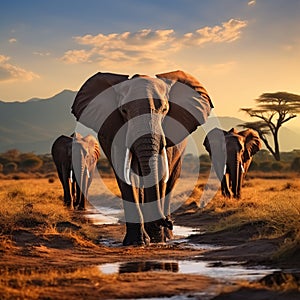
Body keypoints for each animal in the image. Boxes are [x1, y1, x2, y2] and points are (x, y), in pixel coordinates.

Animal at [71, 70, 214, 246]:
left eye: (164, 110)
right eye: (124, 111)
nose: (168, 222)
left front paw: (157, 239)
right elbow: (126, 175)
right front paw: (137, 242)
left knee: (171, 181)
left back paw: (166, 237)